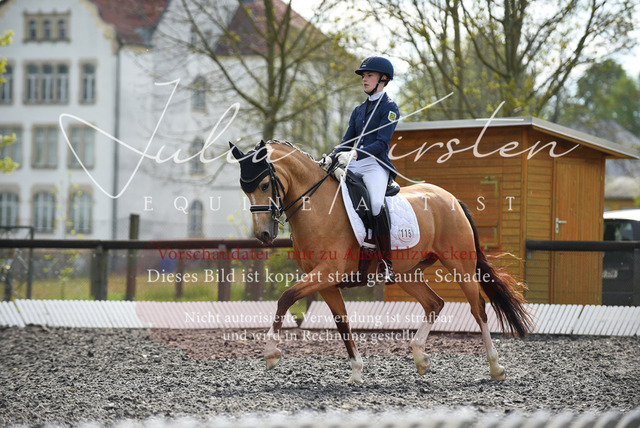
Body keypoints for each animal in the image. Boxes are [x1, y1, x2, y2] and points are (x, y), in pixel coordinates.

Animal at [229, 139, 533, 383]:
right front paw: (356, 372)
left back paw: (495, 367)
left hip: (460, 266)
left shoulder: (327, 272)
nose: (264, 234)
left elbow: (286, 297)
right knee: (434, 304)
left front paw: (271, 352)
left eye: (265, 184)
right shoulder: (326, 282)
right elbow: (342, 323)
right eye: (244, 190)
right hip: (407, 273)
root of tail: (451, 197)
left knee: (478, 308)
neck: (318, 207)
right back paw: (420, 357)